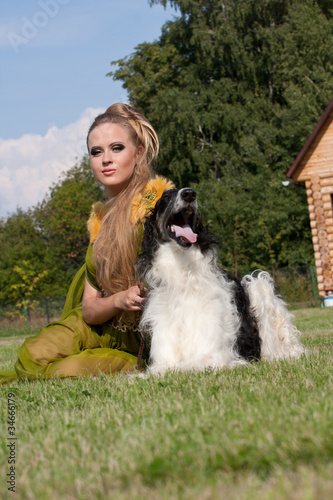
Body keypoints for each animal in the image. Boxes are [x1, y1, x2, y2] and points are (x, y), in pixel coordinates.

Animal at [136, 188, 304, 376]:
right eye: (166, 197)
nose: (189, 193)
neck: (184, 275)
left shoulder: (214, 356)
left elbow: (182, 367)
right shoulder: (163, 357)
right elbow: (158, 369)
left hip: (258, 285)